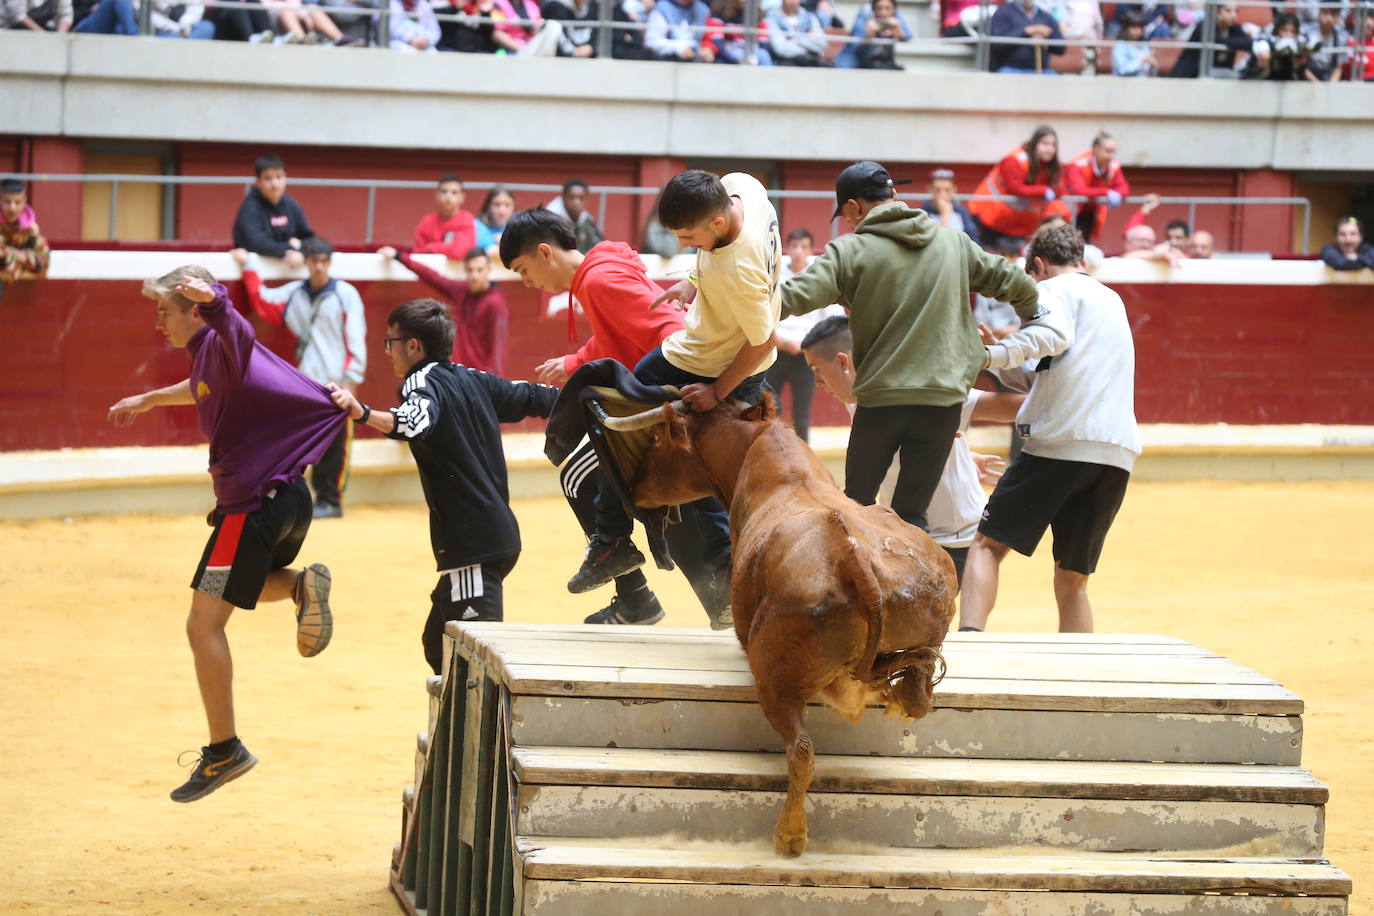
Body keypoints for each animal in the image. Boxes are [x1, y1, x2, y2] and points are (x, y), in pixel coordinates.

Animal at [604, 395, 956, 862]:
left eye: (659, 439)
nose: (636, 490)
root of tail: (851, 556)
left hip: (775, 681)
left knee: (801, 748)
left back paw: (789, 835)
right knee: (917, 693)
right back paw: (901, 696)